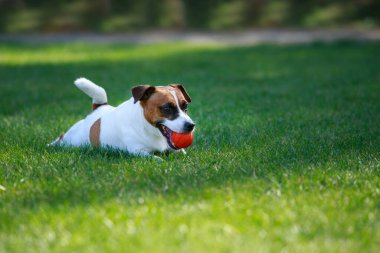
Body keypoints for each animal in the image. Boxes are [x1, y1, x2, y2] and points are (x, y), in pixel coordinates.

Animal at [49, 77, 194, 156]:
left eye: (185, 106)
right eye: (167, 108)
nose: (191, 126)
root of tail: (99, 108)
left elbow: (181, 152)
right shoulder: (138, 152)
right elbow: (156, 159)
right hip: (73, 139)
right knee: (62, 138)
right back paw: (51, 145)